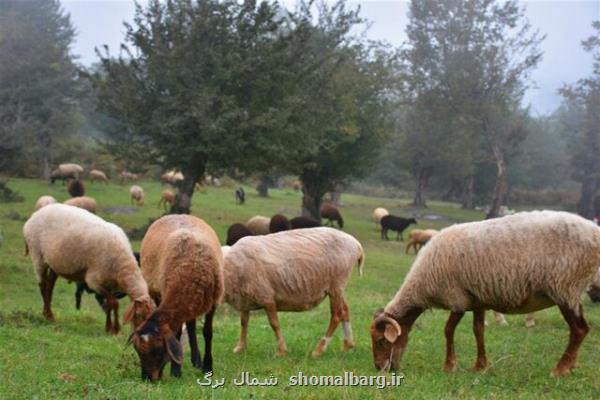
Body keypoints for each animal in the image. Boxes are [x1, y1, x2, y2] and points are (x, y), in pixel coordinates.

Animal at [22, 205, 156, 332]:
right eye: (139, 315)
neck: (122, 266)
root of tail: (35, 215)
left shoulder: (108, 284)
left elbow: (110, 304)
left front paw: (111, 327)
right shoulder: (94, 281)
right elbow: (113, 302)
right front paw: (113, 328)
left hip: (54, 263)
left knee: (50, 286)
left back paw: (49, 315)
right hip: (37, 255)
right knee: (43, 285)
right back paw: (48, 314)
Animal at [126, 216, 223, 382]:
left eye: (159, 350)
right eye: (138, 351)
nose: (147, 378)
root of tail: (176, 214)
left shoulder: (214, 301)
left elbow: (207, 332)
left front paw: (207, 367)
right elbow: (177, 333)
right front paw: (176, 370)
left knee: (191, 325)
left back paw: (197, 361)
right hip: (156, 290)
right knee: (189, 325)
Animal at [223, 228, 364, 356]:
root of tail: (357, 244)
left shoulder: (267, 297)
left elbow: (274, 324)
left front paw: (281, 351)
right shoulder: (244, 299)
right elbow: (243, 322)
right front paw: (240, 348)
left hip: (337, 283)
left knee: (336, 315)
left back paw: (319, 350)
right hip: (338, 287)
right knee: (345, 310)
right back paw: (348, 345)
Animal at [368, 211, 600, 376]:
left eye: (381, 341)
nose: (380, 368)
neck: (421, 286)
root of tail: (595, 231)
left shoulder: (457, 297)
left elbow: (448, 330)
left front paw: (450, 366)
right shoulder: (477, 300)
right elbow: (478, 330)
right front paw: (480, 366)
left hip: (565, 288)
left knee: (579, 330)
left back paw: (559, 370)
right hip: (572, 290)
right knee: (582, 329)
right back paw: (570, 366)